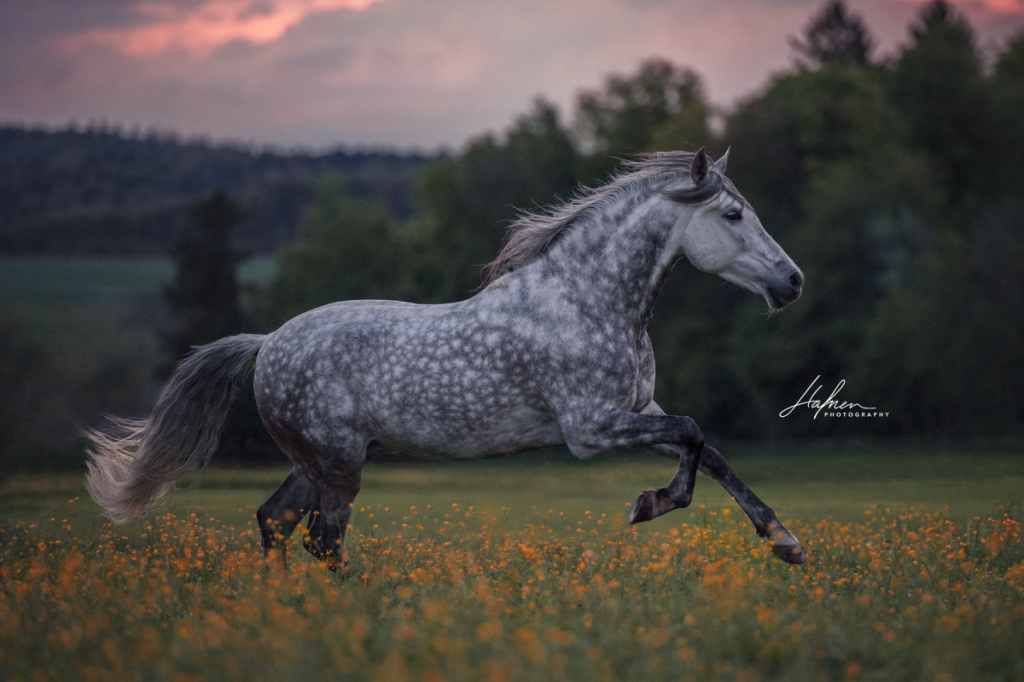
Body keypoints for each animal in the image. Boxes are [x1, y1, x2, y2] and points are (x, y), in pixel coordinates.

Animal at [88, 148, 806, 569]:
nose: (792, 282)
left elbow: (709, 450)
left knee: (277, 522)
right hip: (337, 465)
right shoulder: (591, 429)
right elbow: (693, 435)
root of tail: (265, 344)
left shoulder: (637, 411)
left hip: (322, 460)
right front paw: (648, 505)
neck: (587, 300)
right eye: (733, 215)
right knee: (322, 536)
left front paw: (785, 544)